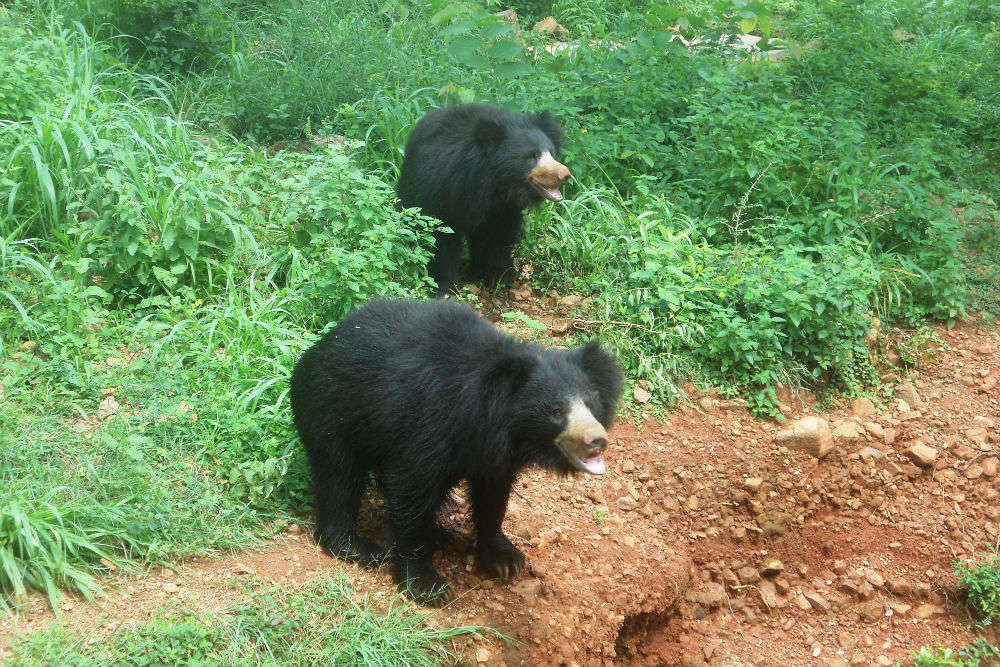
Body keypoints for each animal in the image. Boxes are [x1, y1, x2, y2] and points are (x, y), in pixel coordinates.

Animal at [286, 300, 620, 604]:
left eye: (591, 402)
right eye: (555, 411)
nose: (597, 440)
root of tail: (322, 344)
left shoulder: (494, 452)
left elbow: (493, 493)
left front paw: (505, 558)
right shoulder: (429, 421)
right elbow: (411, 486)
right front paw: (426, 583)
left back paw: (439, 533)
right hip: (331, 409)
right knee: (339, 476)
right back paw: (356, 546)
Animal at [396, 103, 572, 298]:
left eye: (552, 153)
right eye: (532, 156)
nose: (565, 175)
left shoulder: (505, 207)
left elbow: (498, 236)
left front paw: (499, 276)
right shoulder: (440, 187)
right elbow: (439, 236)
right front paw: (443, 286)